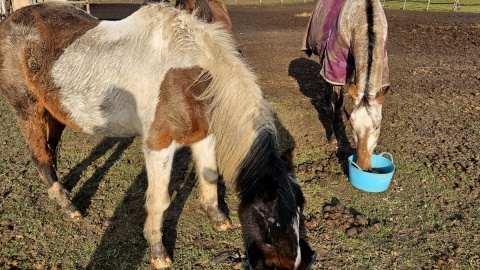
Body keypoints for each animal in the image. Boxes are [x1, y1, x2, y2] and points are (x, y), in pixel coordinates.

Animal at [0, 2, 308, 270]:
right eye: (272, 224)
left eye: (299, 215)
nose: (289, 265)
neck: (187, 73)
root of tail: (9, 21)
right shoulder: (158, 144)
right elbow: (159, 200)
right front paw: (158, 251)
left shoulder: (204, 134)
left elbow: (209, 175)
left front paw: (217, 216)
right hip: (28, 108)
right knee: (40, 157)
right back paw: (67, 206)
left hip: (56, 112)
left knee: (49, 152)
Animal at [304, 0, 390, 171]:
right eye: (352, 125)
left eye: (377, 127)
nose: (363, 166)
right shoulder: (335, 63)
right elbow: (338, 102)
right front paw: (334, 138)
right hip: (324, 56)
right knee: (327, 84)